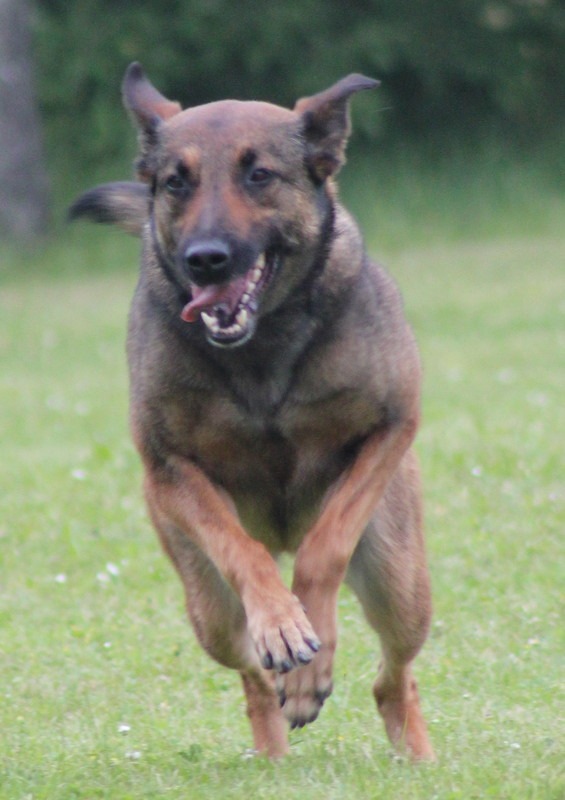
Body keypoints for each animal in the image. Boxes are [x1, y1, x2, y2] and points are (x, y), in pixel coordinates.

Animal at [69, 64, 432, 764]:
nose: (206, 258)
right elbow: (242, 551)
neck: (263, 343)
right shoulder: (171, 469)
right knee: (253, 678)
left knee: (394, 675)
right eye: (176, 182)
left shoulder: (392, 424)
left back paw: (413, 750)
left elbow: (324, 547)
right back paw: (273, 747)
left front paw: (312, 652)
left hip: (400, 582)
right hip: (208, 608)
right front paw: (285, 628)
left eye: (259, 174)